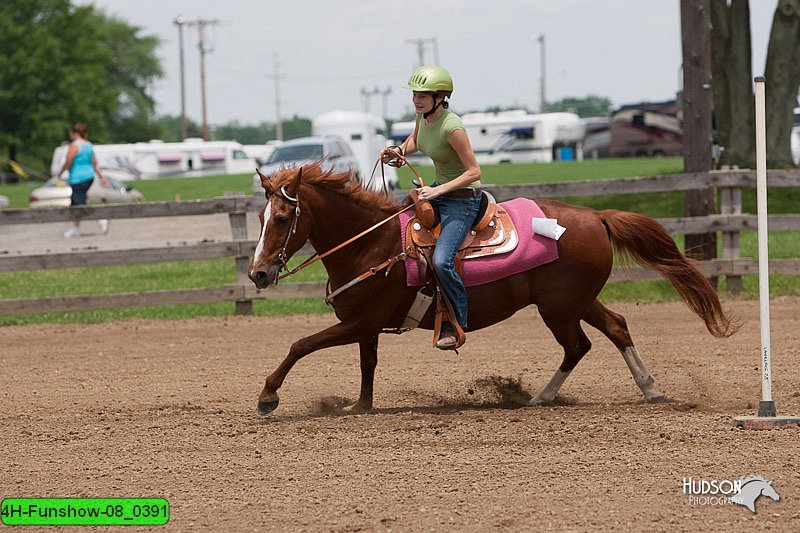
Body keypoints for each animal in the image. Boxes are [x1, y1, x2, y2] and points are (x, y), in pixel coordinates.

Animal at [245, 163, 736, 416]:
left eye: (284, 219)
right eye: (261, 217)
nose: (258, 274)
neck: (372, 243)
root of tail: (596, 216)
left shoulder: (358, 322)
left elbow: (300, 344)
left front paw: (268, 396)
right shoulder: (364, 326)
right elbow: (368, 365)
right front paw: (360, 406)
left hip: (558, 309)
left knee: (578, 346)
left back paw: (540, 397)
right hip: (578, 301)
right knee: (616, 328)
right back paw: (649, 389)